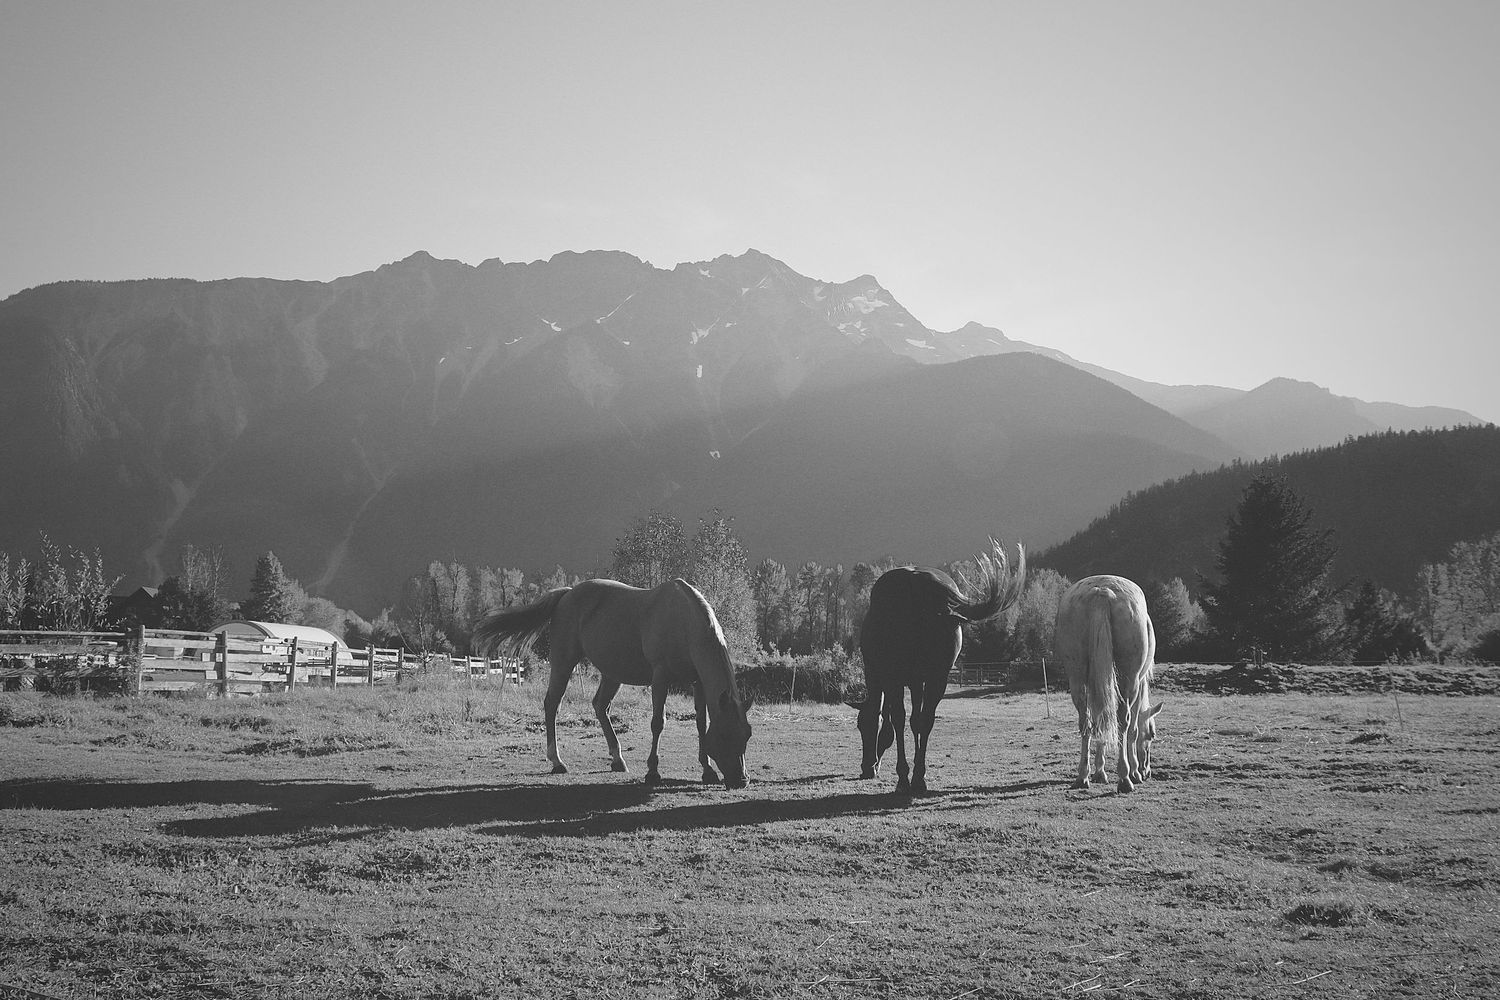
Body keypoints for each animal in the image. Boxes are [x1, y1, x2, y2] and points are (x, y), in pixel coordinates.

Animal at [471, 578, 753, 788]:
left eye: (747, 734)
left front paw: (707, 770)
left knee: (600, 706)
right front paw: (653, 772)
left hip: (612, 675)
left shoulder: (698, 682)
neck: (684, 622)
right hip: (563, 663)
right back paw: (557, 761)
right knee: (552, 704)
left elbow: (700, 724)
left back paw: (617, 759)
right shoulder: (660, 677)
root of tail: (567, 594)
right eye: (726, 735)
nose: (741, 780)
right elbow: (658, 722)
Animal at [853, 540, 1026, 793]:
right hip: (938, 677)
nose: (866, 768)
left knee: (900, 719)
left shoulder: (887, 678)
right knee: (926, 720)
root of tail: (917, 582)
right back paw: (918, 778)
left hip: (902, 676)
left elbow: (893, 722)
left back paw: (904, 778)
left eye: (861, 726)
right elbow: (915, 721)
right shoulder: (917, 681)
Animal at [1053, 574, 1162, 792]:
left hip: (1077, 677)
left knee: (1086, 722)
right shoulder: (1138, 686)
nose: (1147, 772)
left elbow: (1099, 721)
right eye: (1152, 735)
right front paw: (1135, 772)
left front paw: (1099, 771)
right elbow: (1133, 730)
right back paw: (1125, 778)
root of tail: (1102, 592)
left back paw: (1082, 776)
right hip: (1129, 681)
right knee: (1123, 721)